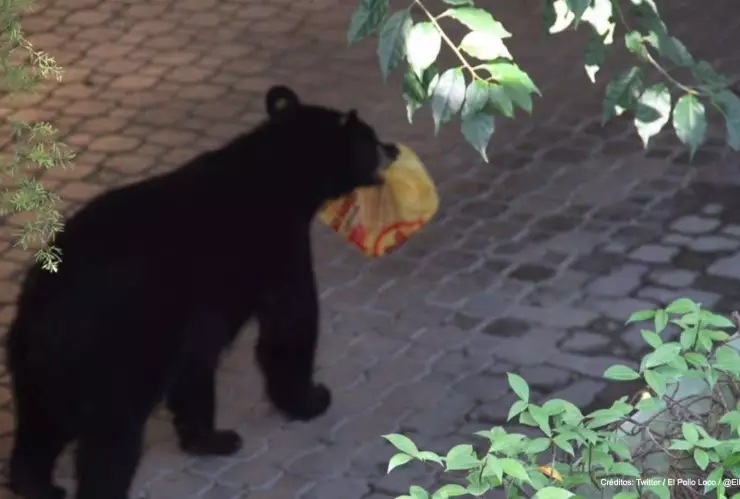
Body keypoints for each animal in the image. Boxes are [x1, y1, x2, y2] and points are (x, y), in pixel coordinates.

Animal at [6, 85, 400, 499]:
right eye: (371, 138)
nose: (393, 149)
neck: (279, 173)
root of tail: (44, 306)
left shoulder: (199, 313)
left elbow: (196, 363)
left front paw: (210, 438)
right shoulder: (279, 244)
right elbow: (290, 322)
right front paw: (311, 398)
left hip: (40, 367)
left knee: (39, 427)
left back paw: (36, 484)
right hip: (119, 349)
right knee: (111, 436)